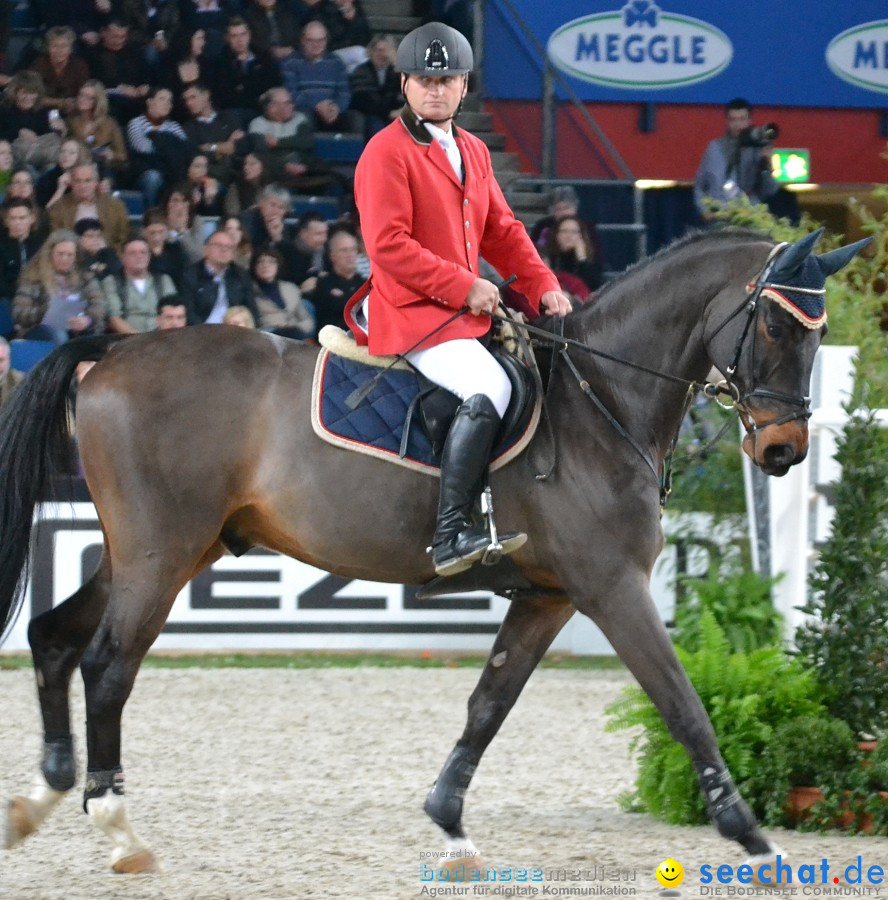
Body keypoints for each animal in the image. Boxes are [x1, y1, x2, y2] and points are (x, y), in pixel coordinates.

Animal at [0, 225, 868, 872]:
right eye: (775, 324)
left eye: (822, 334)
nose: (784, 451)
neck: (601, 400)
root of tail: (111, 352)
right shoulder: (613, 588)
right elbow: (683, 704)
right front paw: (749, 834)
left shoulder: (550, 597)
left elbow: (489, 702)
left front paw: (449, 823)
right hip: (160, 555)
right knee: (108, 665)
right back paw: (117, 827)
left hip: (156, 552)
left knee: (53, 637)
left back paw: (41, 798)